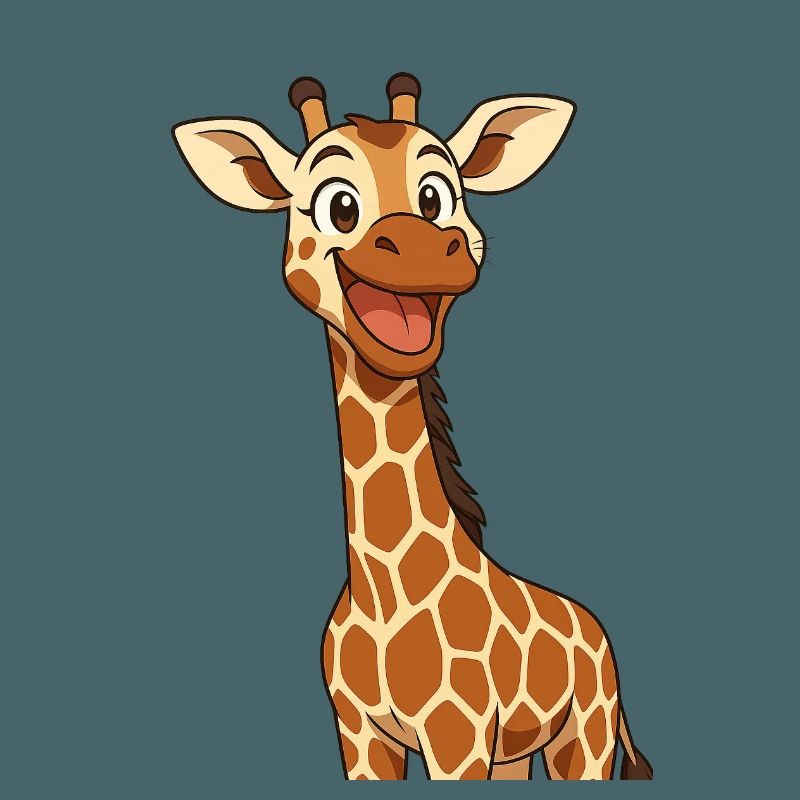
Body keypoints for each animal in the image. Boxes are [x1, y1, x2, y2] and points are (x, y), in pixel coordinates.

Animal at [172, 74, 653, 781]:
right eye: (338, 205)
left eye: (436, 196)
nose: (429, 247)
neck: (381, 595)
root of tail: (597, 629)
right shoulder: (360, 735)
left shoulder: (459, 735)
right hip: (519, 751)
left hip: (585, 734)